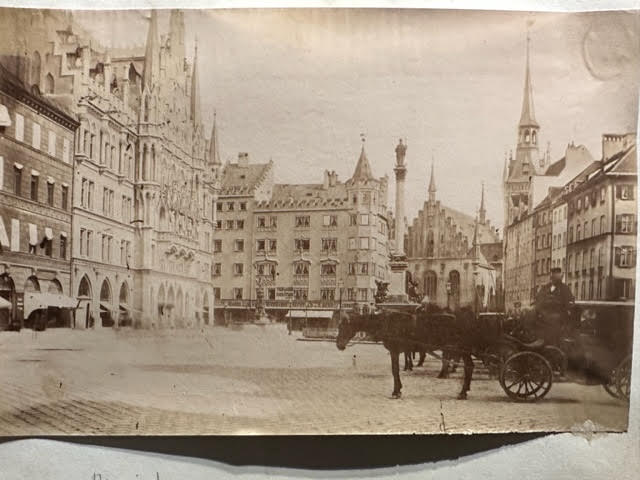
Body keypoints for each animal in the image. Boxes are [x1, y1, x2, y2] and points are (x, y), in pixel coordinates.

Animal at [336, 306, 480, 400]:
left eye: (343, 326)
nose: (339, 345)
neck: (386, 323)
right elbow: (397, 369)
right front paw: (399, 389)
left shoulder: (394, 351)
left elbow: (395, 370)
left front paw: (396, 392)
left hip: (461, 348)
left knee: (468, 366)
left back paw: (462, 392)